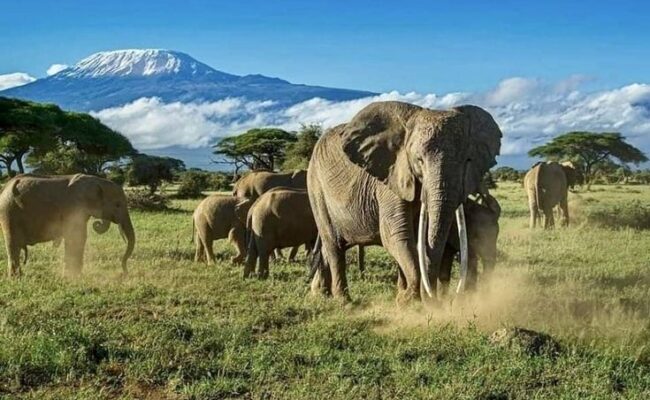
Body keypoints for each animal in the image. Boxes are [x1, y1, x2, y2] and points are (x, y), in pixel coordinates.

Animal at [0, 174, 135, 277]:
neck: (97, 181)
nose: (124, 273)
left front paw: (72, 276)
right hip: (8, 213)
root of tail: (5, 187)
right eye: (117, 205)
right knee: (13, 245)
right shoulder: (74, 209)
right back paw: (16, 278)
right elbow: (78, 237)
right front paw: (74, 276)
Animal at [307, 101, 502, 302]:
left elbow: (415, 237)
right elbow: (397, 233)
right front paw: (407, 299)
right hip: (316, 187)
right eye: (419, 160)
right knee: (334, 246)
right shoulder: (390, 177)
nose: (436, 300)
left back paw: (320, 294)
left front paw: (404, 297)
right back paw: (343, 301)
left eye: (467, 161)